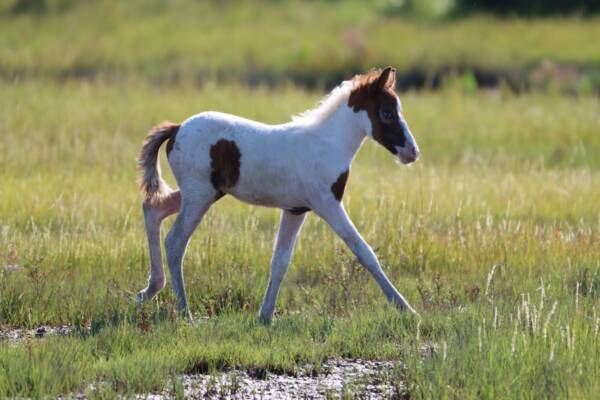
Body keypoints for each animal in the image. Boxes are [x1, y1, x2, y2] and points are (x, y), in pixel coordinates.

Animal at [139, 65, 422, 322]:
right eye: (386, 112)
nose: (412, 152)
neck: (327, 144)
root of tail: (177, 128)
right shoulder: (327, 204)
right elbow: (364, 251)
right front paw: (406, 309)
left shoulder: (295, 210)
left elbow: (280, 262)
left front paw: (265, 317)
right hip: (199, 195)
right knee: (175, 242)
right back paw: (184, 311)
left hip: (204, 193)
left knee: (152, 209)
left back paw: (148, 291)